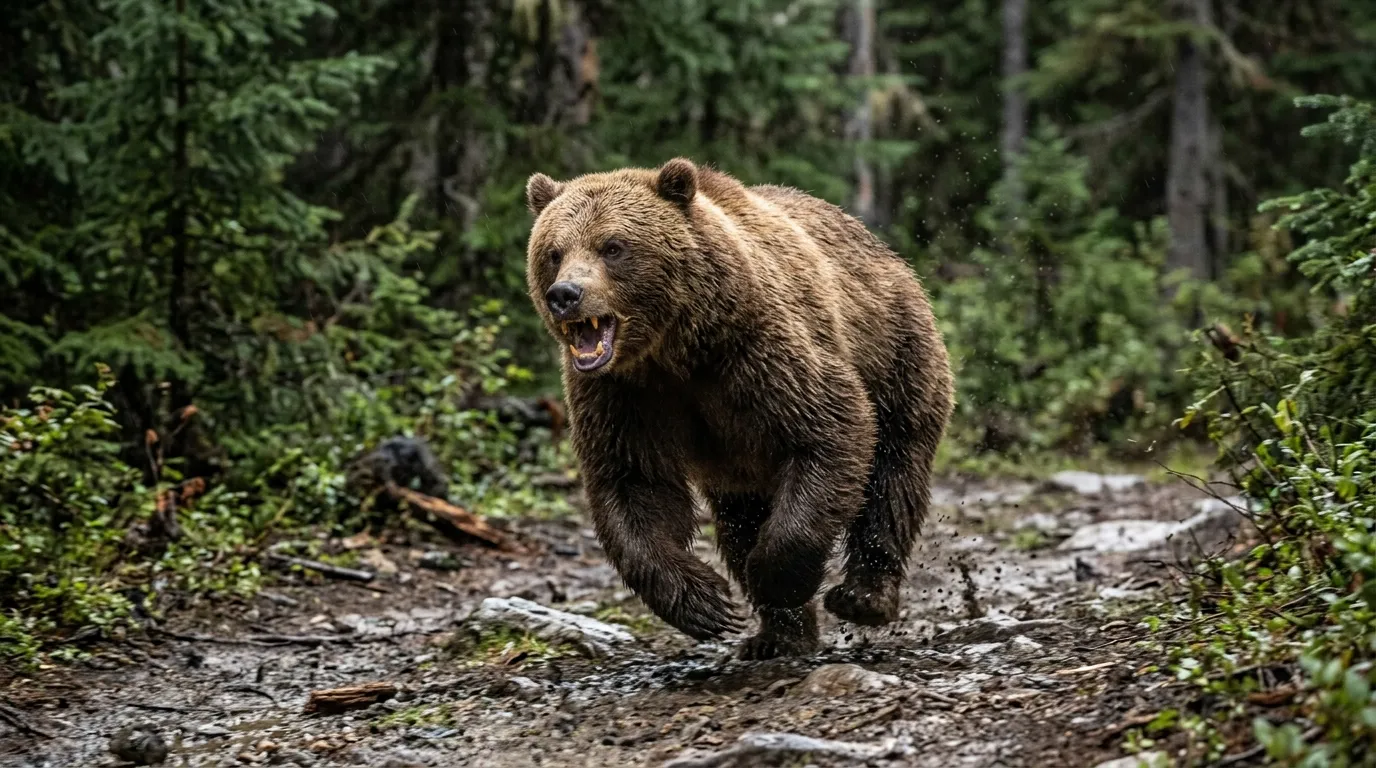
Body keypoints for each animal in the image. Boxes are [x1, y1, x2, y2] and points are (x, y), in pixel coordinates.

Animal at [524, 158, 954, 659]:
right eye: (553, 252)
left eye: (612, 246)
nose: (565, 294)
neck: (674, 351)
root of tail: (886, 250)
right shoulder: (622, 395)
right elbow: (632, 483)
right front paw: (705, 603)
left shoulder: (757, 352)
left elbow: (831, 428)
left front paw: (773, 578)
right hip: (738, 466)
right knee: (740, 520)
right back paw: (779, 637)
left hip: (897, 354)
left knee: (892, 479)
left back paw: (863, 597)